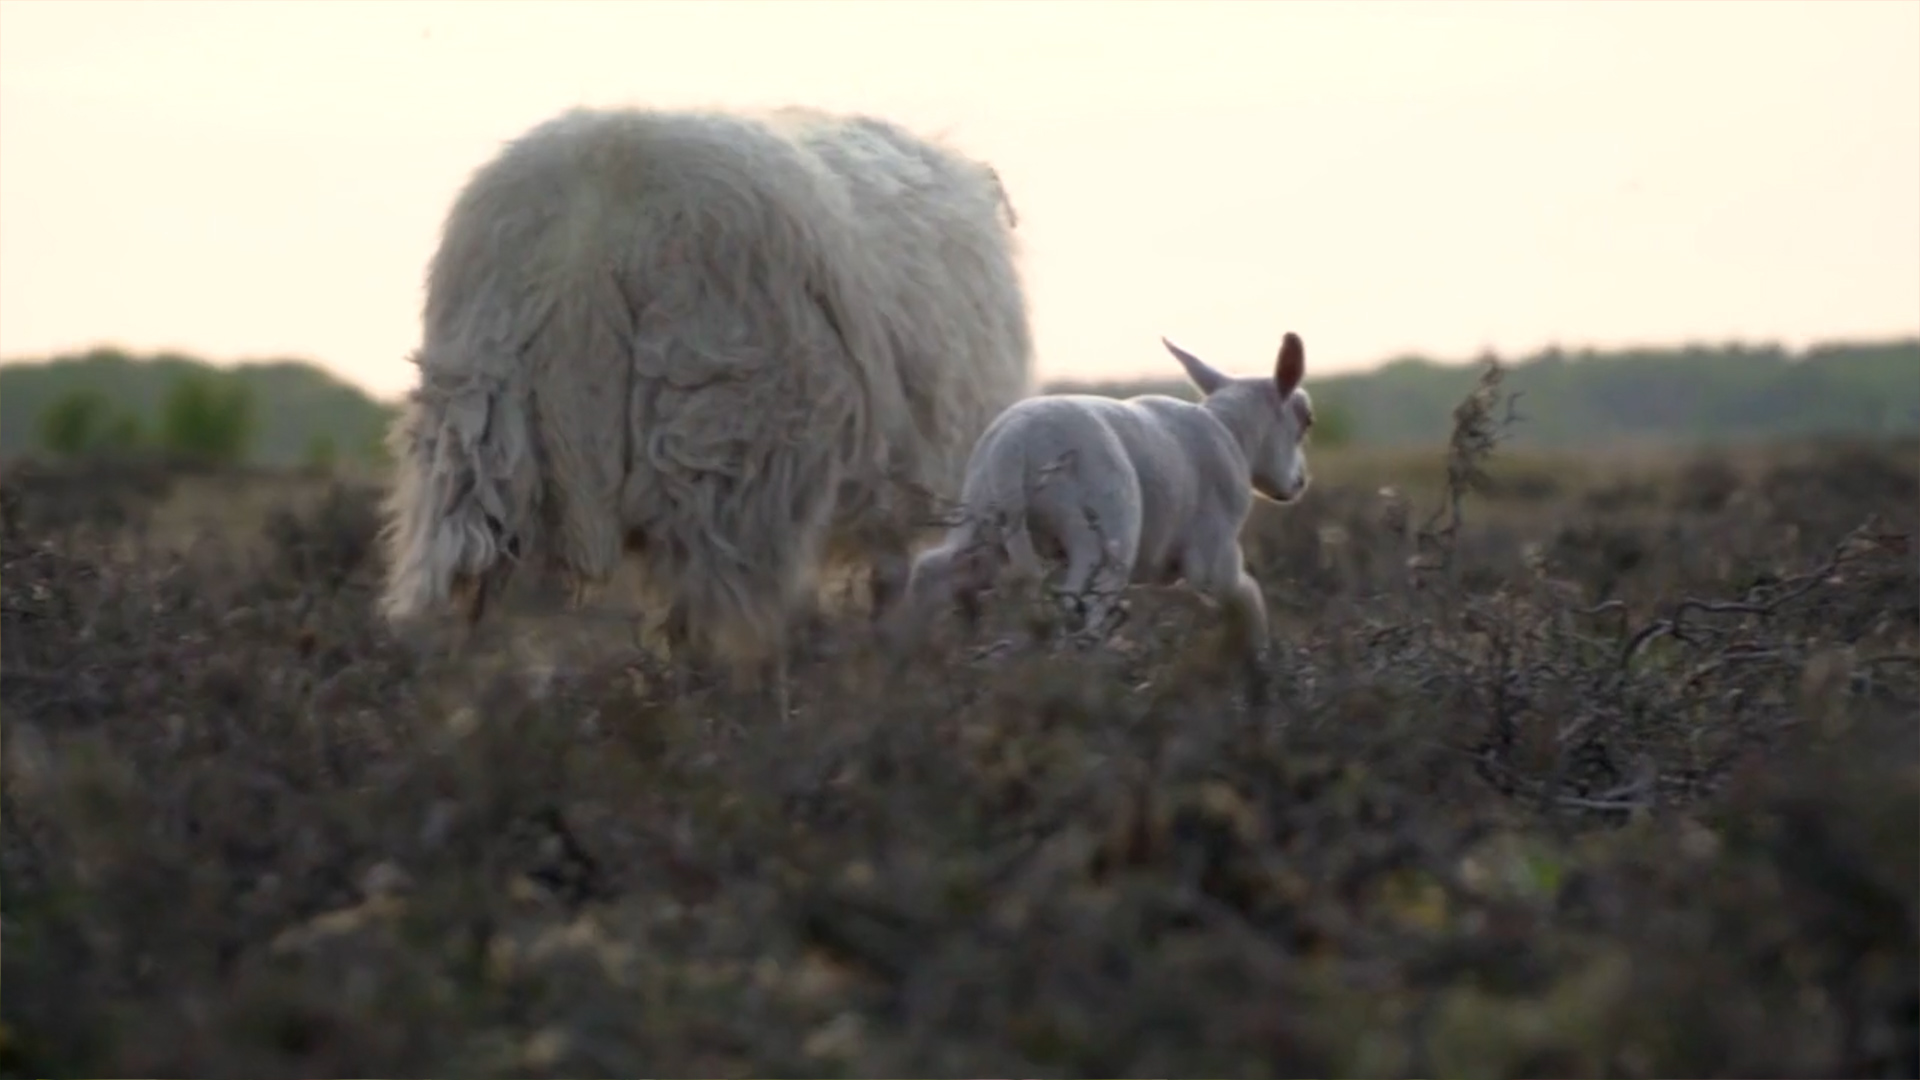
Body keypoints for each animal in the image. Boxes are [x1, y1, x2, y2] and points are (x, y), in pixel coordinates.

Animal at [378, 98, 1036, 707]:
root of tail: (598, 234)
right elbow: (891, 584)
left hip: (483, 443)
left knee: (481, 605)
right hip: (725, 449)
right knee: (720, 616)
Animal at [887, 332, 1320, 691]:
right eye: (1306, 420)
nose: (1300, 484)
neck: (1232, 431)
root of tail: (1014, 444)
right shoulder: (1214, 557)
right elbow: (1248, 598)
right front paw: (1260, 664)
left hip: (984, 525)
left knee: (933, 571)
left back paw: (909, 667)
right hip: (1098, 539)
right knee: (1075, 613)